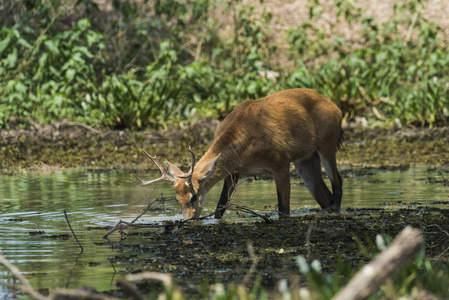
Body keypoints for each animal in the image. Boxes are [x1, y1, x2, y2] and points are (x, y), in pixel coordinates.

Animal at [136, 88, 344, 219]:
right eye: (177, 199)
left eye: (193, 197)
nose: (189, 219)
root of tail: (337, 109)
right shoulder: (233, 172)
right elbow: (220, 208)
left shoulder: (281, 162)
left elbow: (284, 210)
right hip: (305, 159)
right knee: (324, 195)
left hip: (327, 143)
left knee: (337, 182)